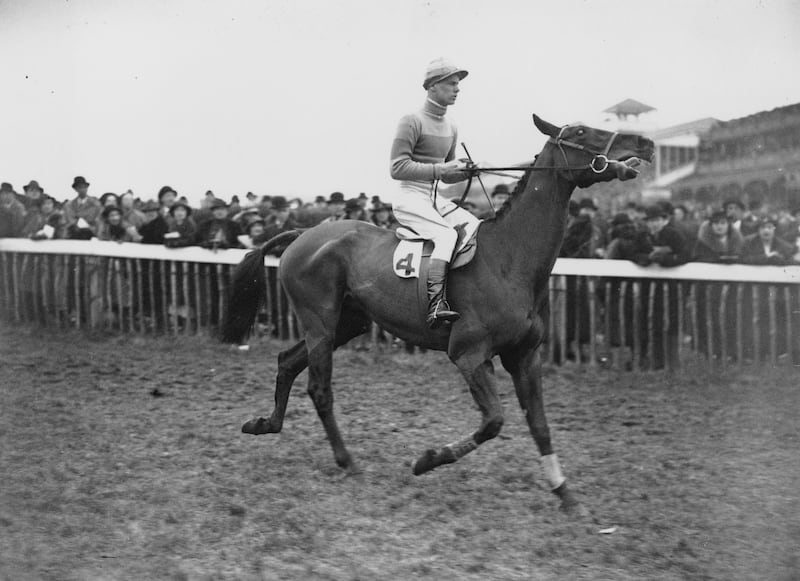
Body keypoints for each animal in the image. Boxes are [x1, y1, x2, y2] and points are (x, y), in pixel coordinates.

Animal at [222, 115, 652, 516]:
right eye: (580, 132)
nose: (645, 143)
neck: (509, 260)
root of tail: (302, 234)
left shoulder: (525, 357)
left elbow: (541, 426)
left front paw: (565, 494)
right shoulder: (469, 355)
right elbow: (494, 421)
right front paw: (427, 460)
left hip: (348, 323)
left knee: (287, 362)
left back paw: (265, 424)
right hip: (321, 324)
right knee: (319, 388)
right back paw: (346, 460)